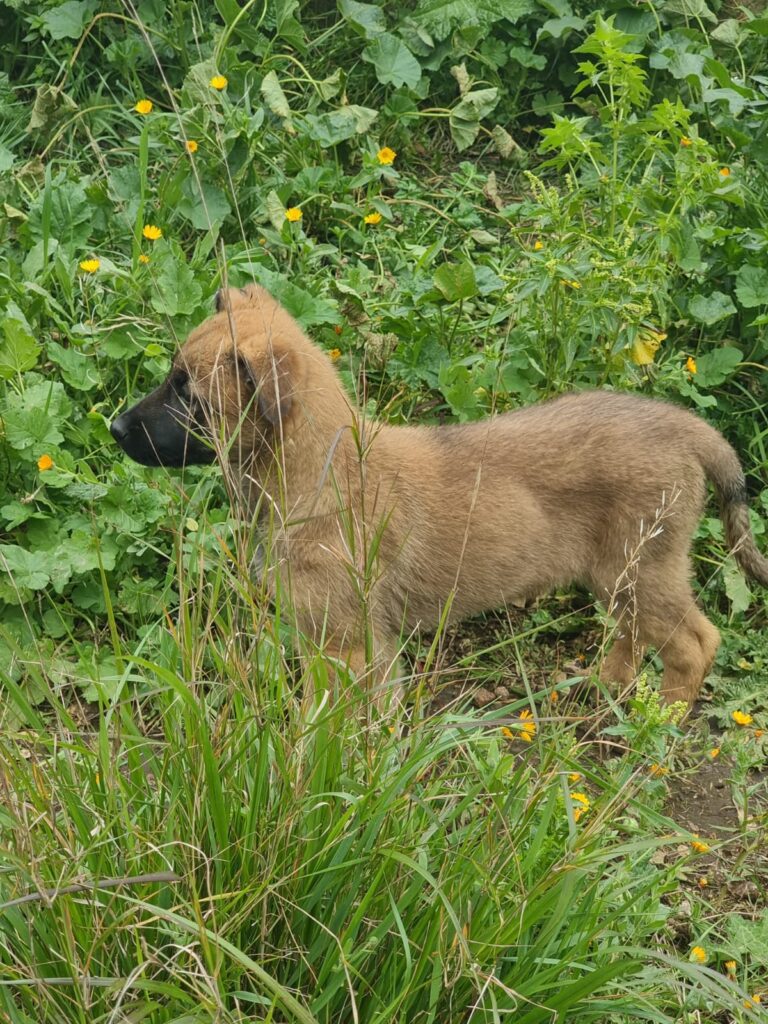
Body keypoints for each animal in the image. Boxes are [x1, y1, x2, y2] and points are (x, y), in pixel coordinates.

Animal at [112, 284, 768, 708]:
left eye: (188, 396)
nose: (115, 429)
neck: (321, 471)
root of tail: (689, 428)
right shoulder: (366, 647)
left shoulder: (344, 645)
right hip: (619, 576)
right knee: (634, 636)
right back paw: (607, 693)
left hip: (642, 570)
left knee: (694, 644)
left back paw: (659, 729)